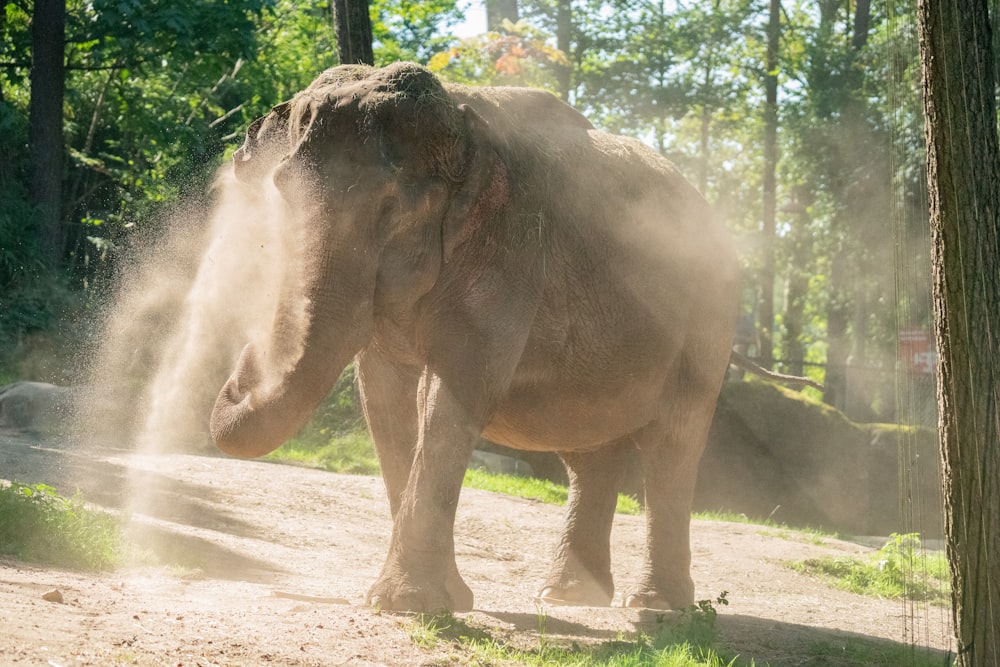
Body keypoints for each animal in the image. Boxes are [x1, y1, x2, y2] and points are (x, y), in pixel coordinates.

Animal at [211, 60, 744, 612]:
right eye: (280, 190)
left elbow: (456, 389)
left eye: (393, 209)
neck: (459, 116)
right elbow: (385, 397)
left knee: (672, 444)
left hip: (708, 320)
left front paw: (405, 604)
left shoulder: (510, 250)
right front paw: (447, 601)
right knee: (588, 450)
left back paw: (654, 605)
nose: (241, 374)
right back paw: (568, 596)